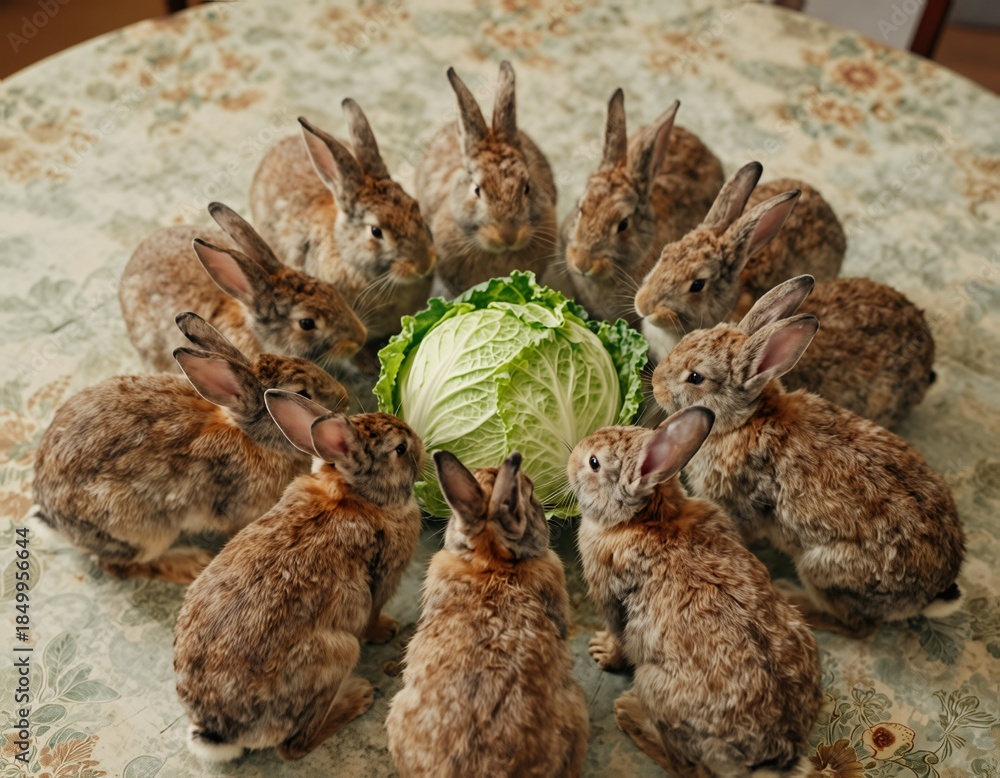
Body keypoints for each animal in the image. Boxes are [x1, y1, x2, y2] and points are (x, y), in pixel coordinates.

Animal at [31, 313, 349, 585]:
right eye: (302, 394)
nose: (345, 398)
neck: (251, 436)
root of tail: (53, 519)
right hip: (143, 532)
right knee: (119, 565)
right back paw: (193, 562)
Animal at [174, 390, 425, 763]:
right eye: (400, 449)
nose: (421, 443)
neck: (354, 494)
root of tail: (220, 729)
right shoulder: (382, 581)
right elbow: (372, 616)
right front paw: (386, 630)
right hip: (337, 654)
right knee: (292, 747)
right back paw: (358, 698)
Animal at [568, 408, 822, 777]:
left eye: (594, 463)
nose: (572, 456)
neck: (648, 519)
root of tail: (774, 751)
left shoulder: (613, 603)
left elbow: (618, 640)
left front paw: (601, 651)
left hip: (653, 685)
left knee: (688, 766)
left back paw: (629, 713)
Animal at [650, 275, 966, 638]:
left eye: (696, 377)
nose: (655, 383)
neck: (744, 421)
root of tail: (934, 592)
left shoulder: (738, 506)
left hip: (824, 569)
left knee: (859, 627)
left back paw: (793, 596)